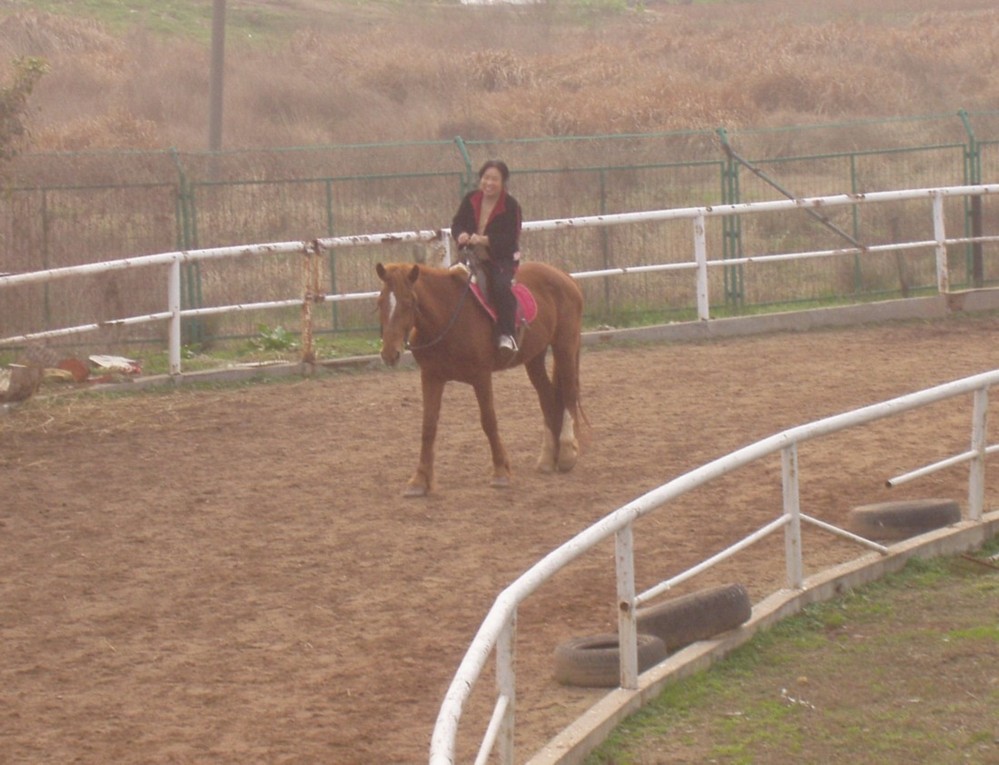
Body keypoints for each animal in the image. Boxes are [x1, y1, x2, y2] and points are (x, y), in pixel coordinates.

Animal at [376, 258, 584, 496]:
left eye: (409, 301)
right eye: (380, 302)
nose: (389, 354)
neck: (447, 317)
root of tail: (565, 276)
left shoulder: (481, 377)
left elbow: (489, 421)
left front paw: (500, 472)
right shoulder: (431, 377)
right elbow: (428, 426)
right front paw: (419, 480)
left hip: (564, 346)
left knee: (569, 393)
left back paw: (567, 454)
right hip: (535, 357)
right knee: (548, 397)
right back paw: (548, 459)